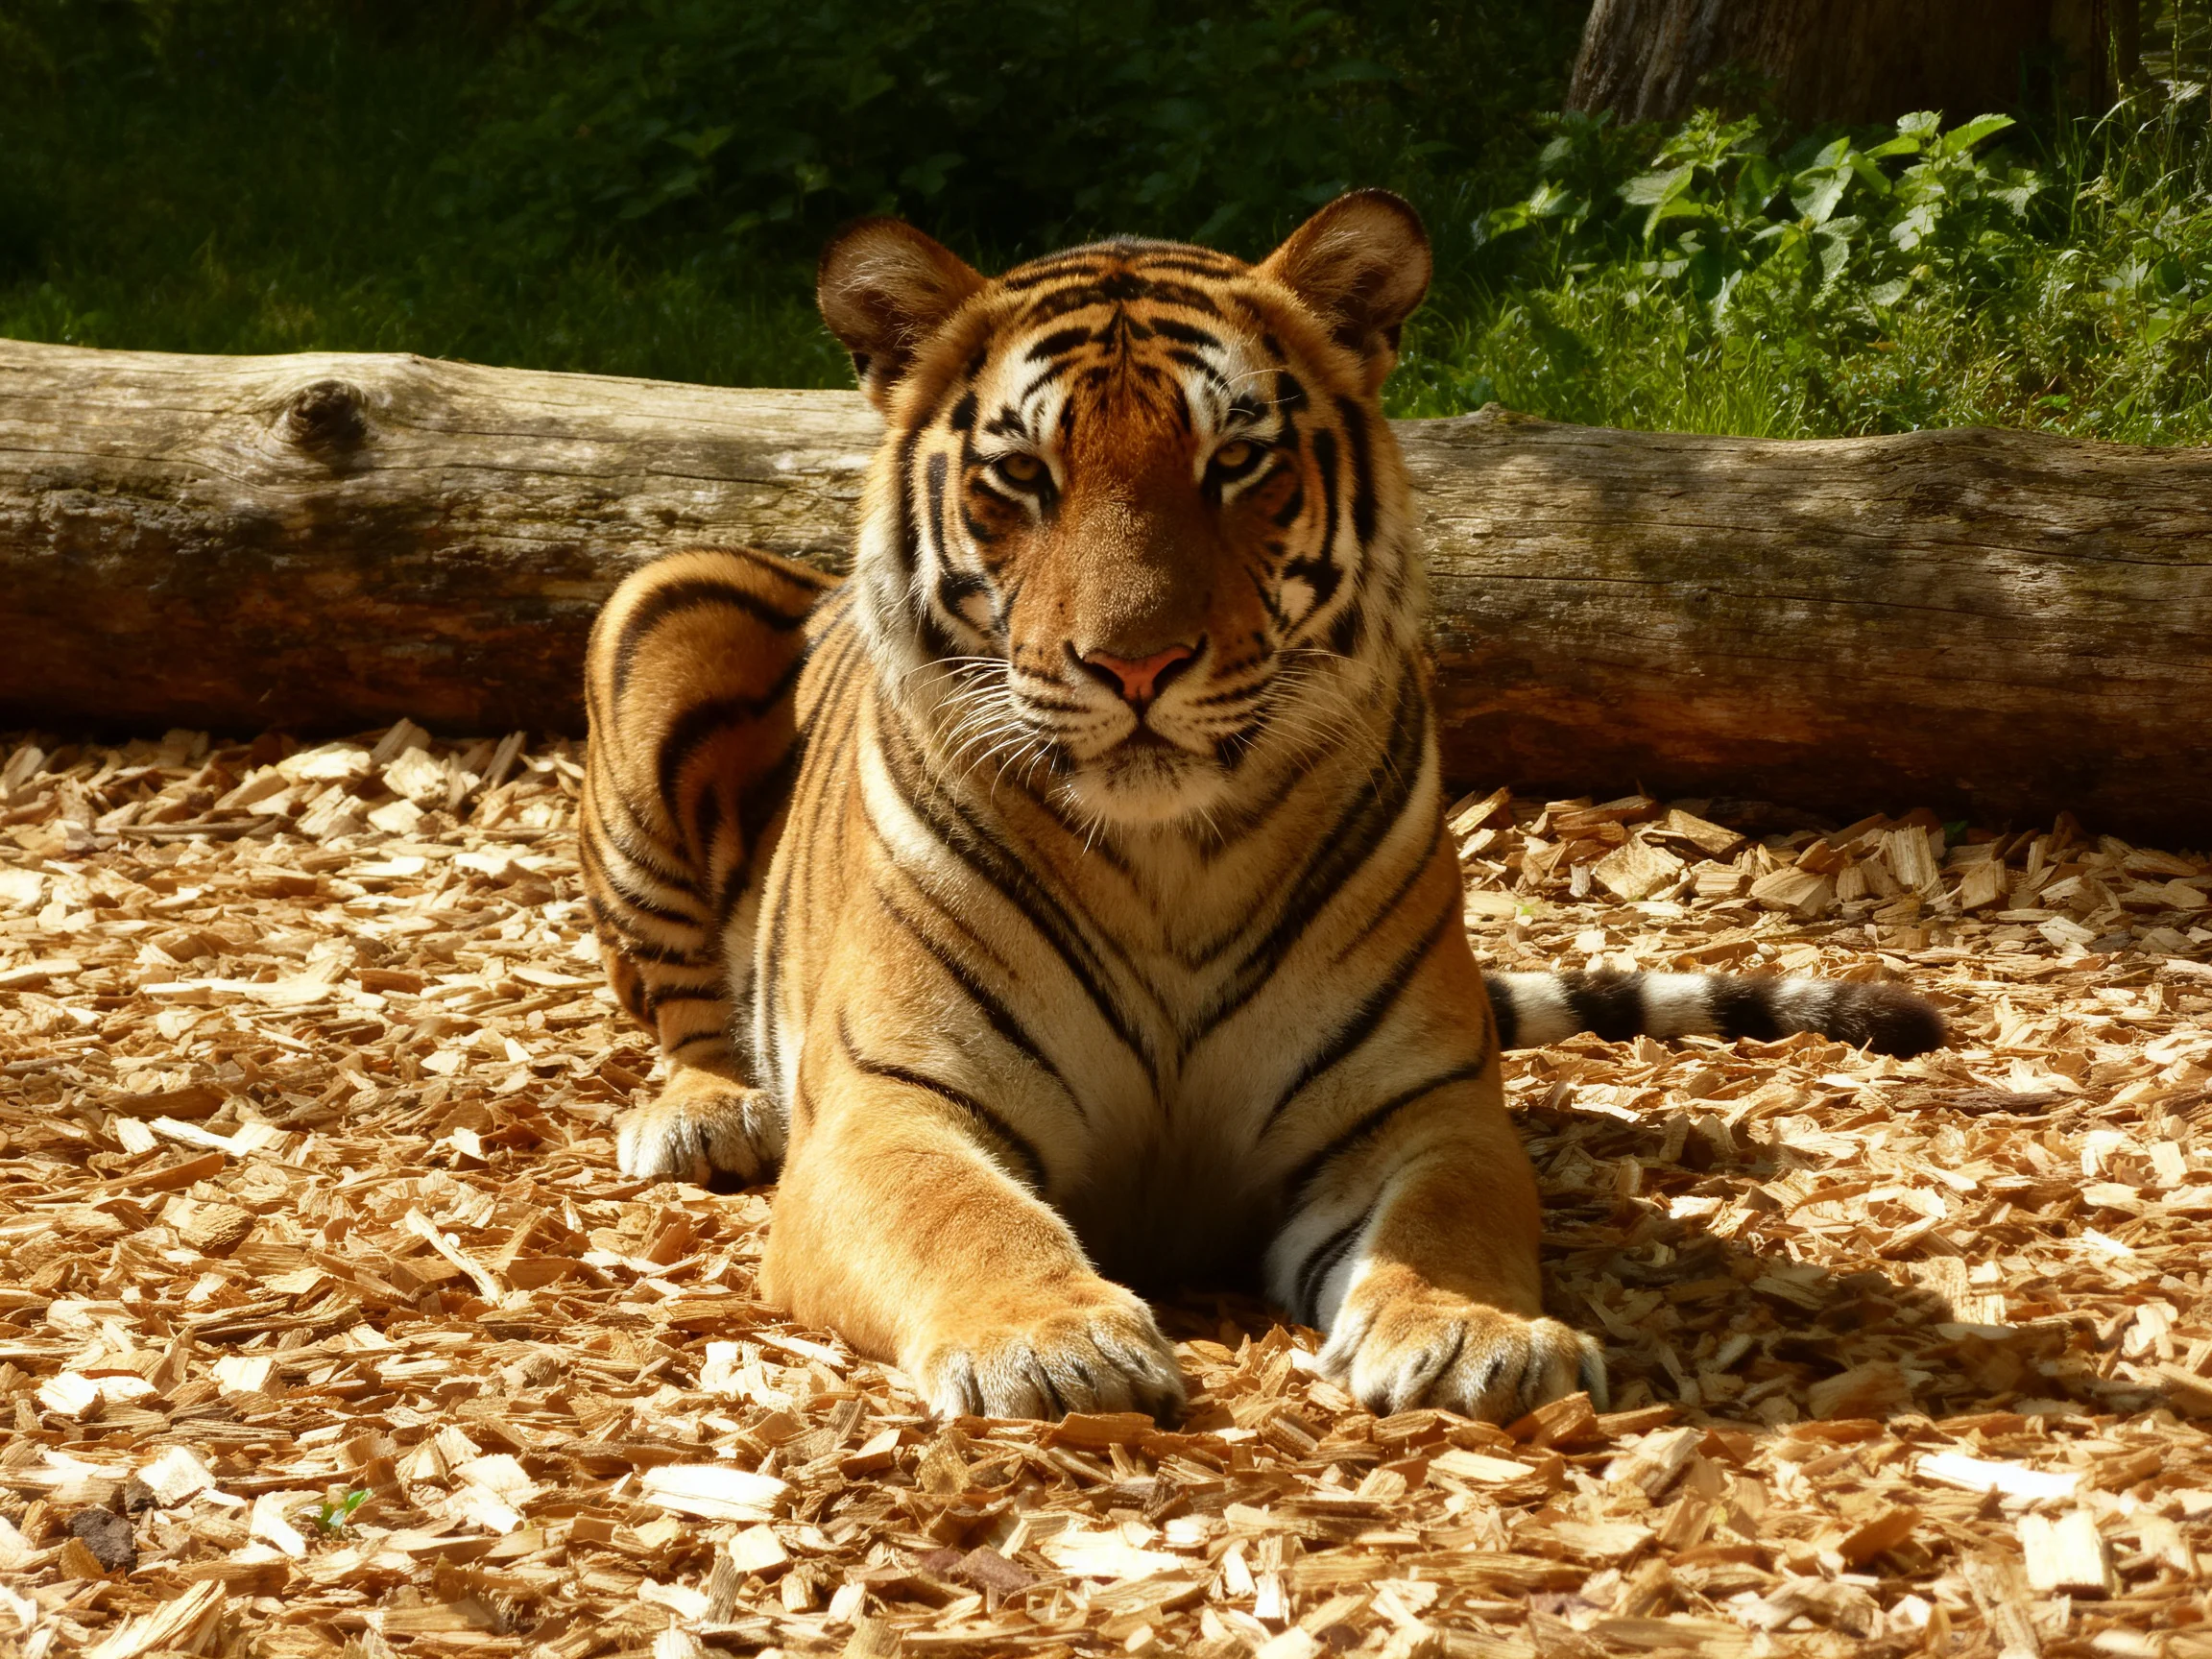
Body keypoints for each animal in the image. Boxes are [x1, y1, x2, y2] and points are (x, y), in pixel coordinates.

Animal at [578, 190, 1945, 1425]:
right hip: (663, 603)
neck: (1166, 863)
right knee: (682, 1014)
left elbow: (1449, 1219)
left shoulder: (1421, 1109)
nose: (1134, 665)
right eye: (1022, 475)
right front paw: (1052, 1346)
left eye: (1235, 462)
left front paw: (1469, 1334)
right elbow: (962, 1219)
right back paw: (710, 1115)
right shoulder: (889, 1107)